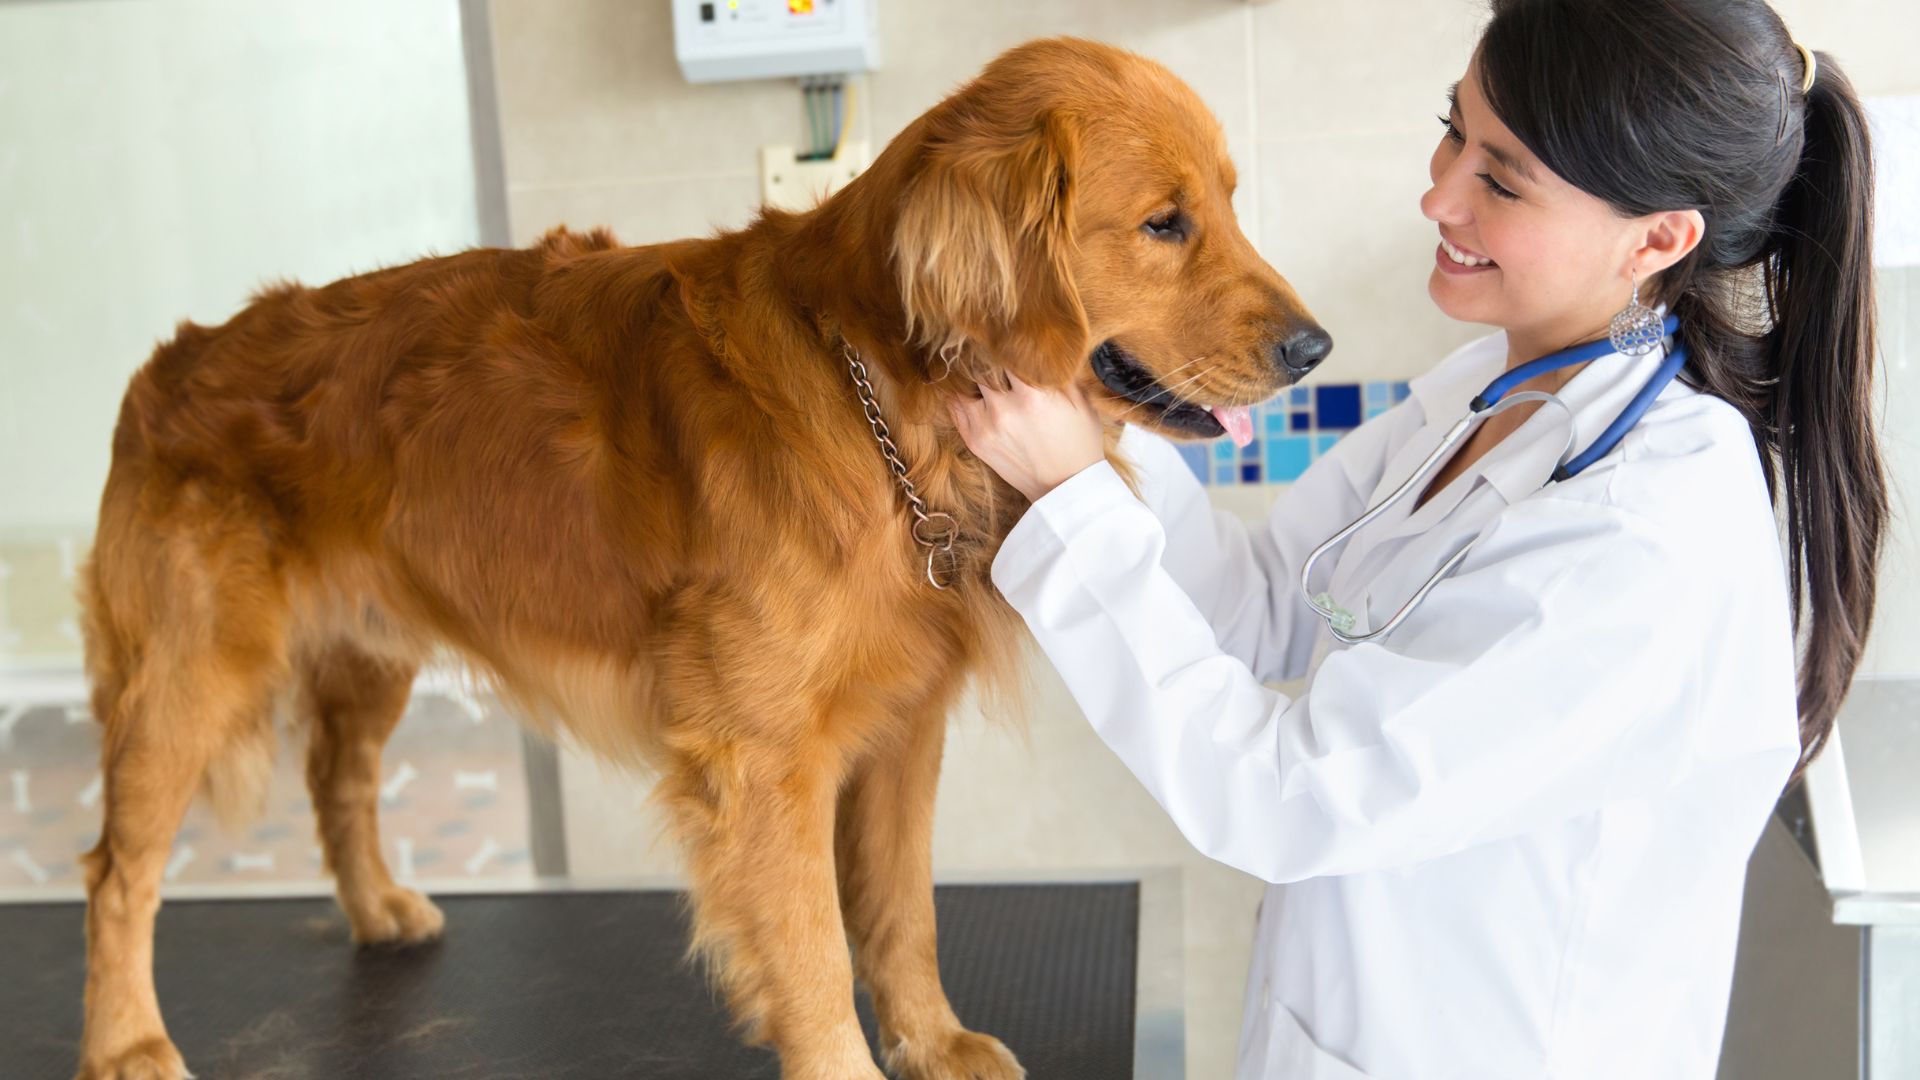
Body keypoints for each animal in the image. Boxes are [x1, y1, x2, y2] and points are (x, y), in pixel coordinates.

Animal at [78, 35, 1336, 1076]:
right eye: (1165, 222)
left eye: (1229, 203)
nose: (1315, 348)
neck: (880, 400)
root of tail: (167, 362)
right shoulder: (763, 757)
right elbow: (814, 949)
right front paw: (846, 1064)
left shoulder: (901, 729)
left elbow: (902, 912)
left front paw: (931, 1041)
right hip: (189, 677)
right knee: (117, 873)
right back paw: (127, 1039)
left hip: (366, 659)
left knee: (336, 779)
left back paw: (378, 905)